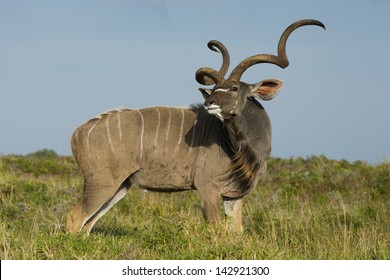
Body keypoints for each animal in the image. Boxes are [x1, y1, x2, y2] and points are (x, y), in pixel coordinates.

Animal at [68, 19, 326, 233]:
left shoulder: (234, 197)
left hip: (121, 186)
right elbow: (217, 232)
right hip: (101, 183)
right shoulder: (207, 189)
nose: (209, 102)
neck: (240, 149)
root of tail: (78, 132)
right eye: (214, 89)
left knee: (88, 224)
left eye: (234, 88)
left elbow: (236, 232)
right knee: (74, 218)